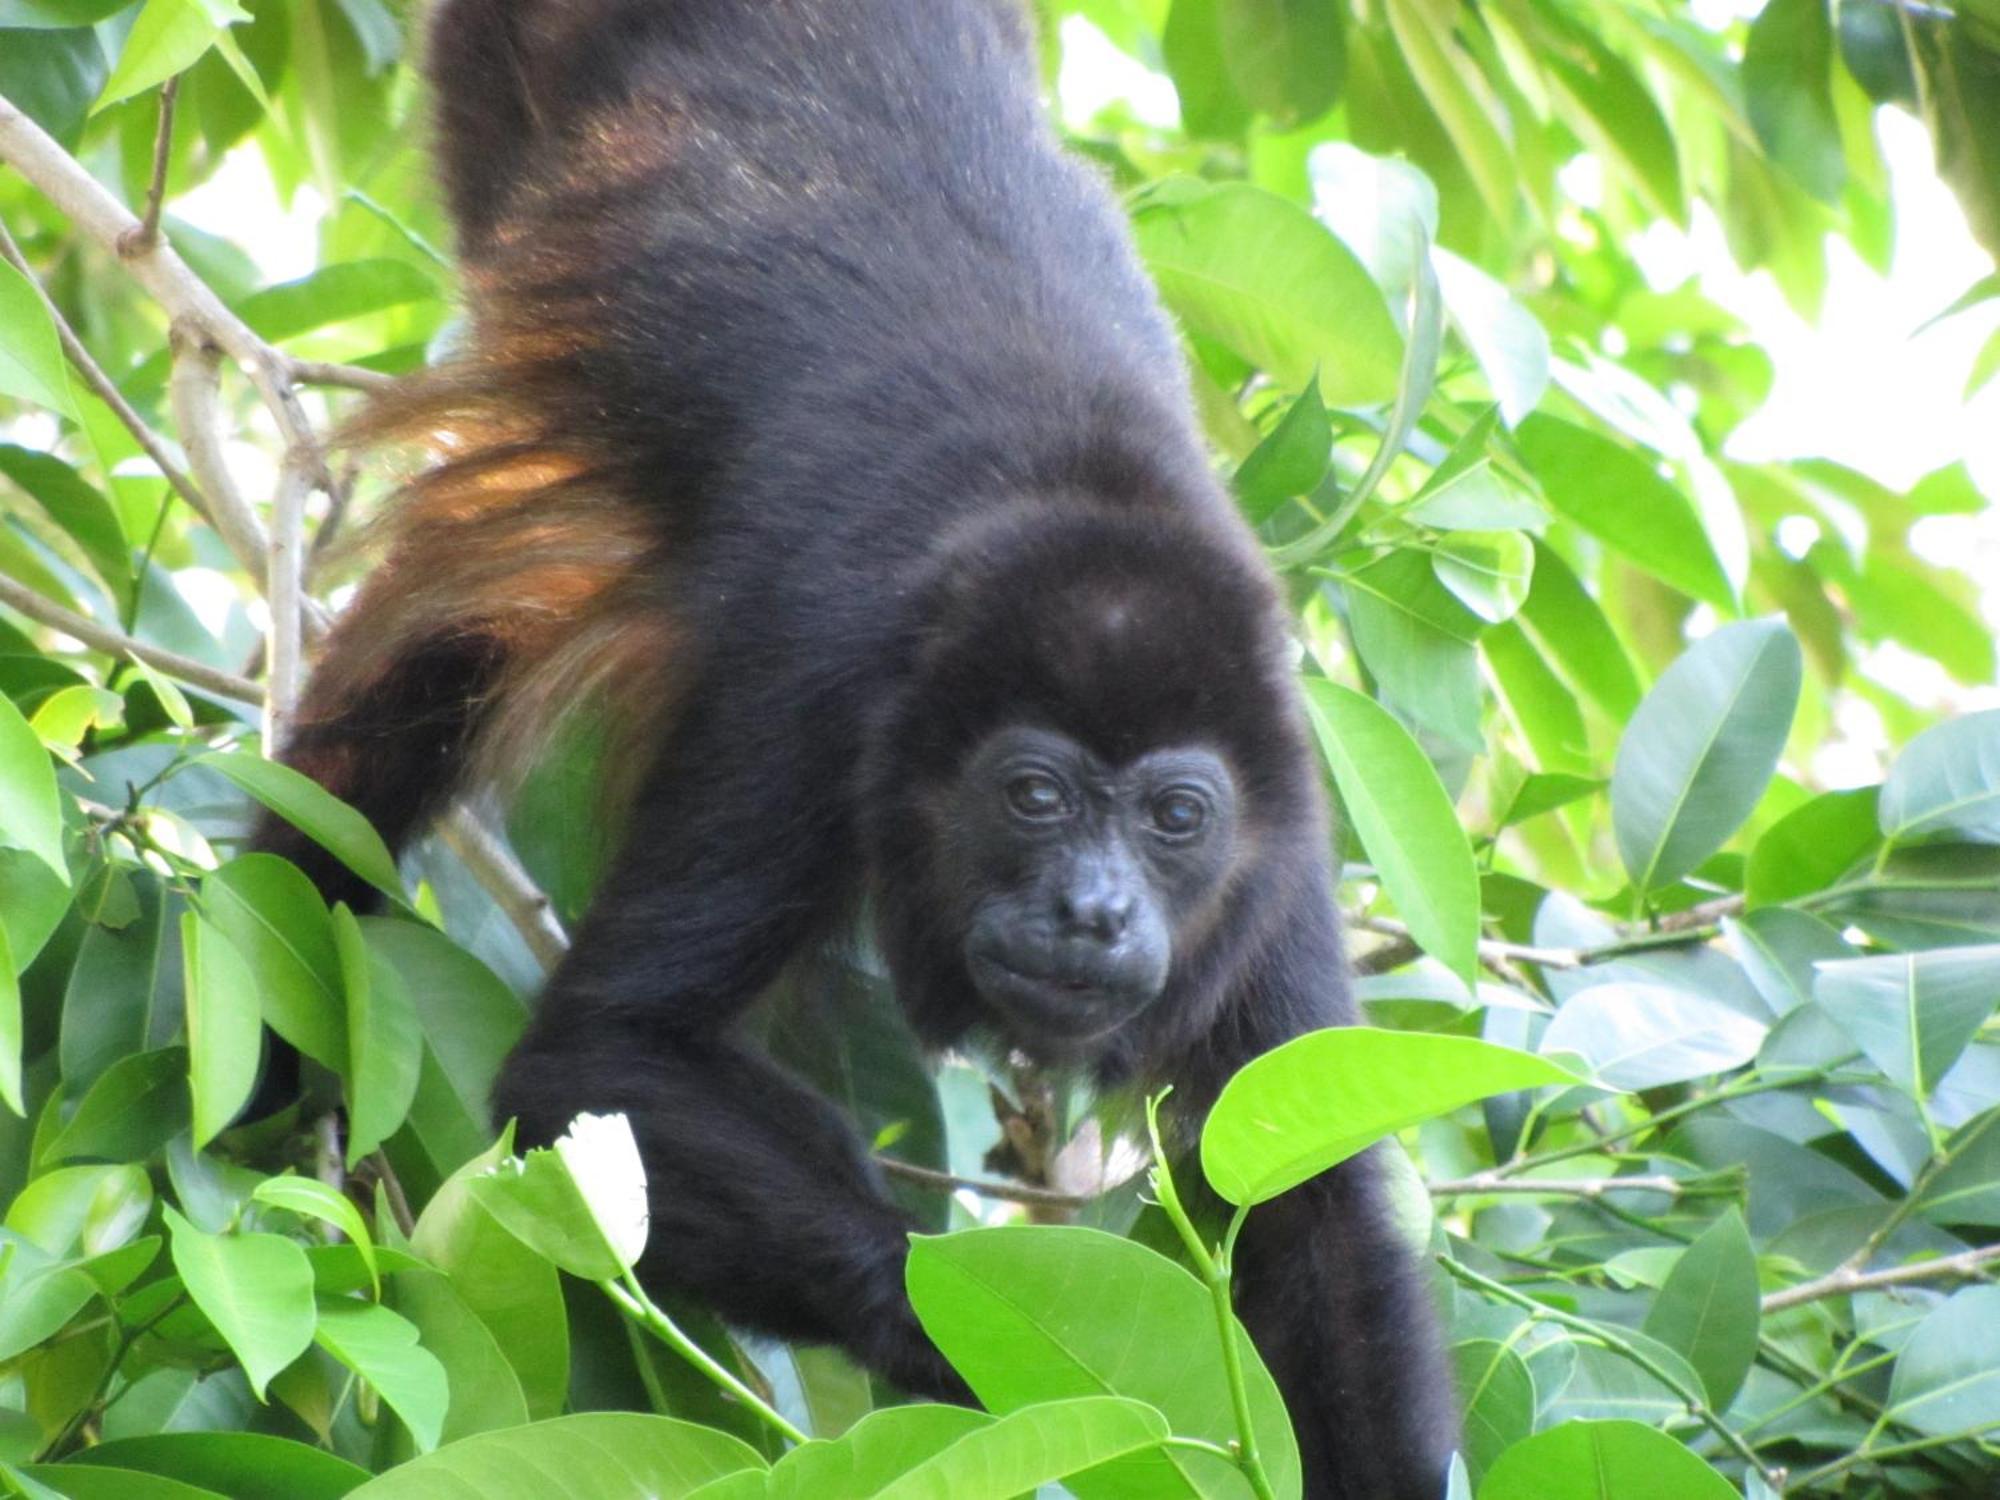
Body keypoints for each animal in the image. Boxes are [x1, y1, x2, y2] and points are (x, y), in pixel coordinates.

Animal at [262, 0, 1456, 1496]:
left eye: (1176, 820)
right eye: (1033, 795)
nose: (1093, 910)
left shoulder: (1278, 823)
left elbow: (1311, 1207)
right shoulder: (811, 703)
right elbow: (599, 1055)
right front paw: (1005, 1342)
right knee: (463, 613)